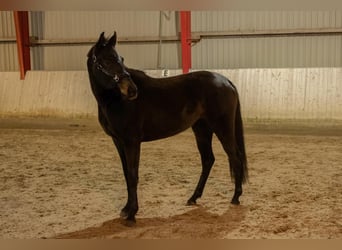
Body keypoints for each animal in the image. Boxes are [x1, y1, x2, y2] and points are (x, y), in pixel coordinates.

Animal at [87, 32, 247, 226]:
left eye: (121, 58)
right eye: (105, 60)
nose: (132, 91)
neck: (115, 100)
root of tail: (226, 81)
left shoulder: (132, 141)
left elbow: (133, 175)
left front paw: (132, 214)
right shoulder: (118, 141)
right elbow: (126, 174)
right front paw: (126, 209)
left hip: (222, 128)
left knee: (235, 157)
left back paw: (235, 197)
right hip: (201, 129)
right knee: (208, 160)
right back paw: (193, 197)